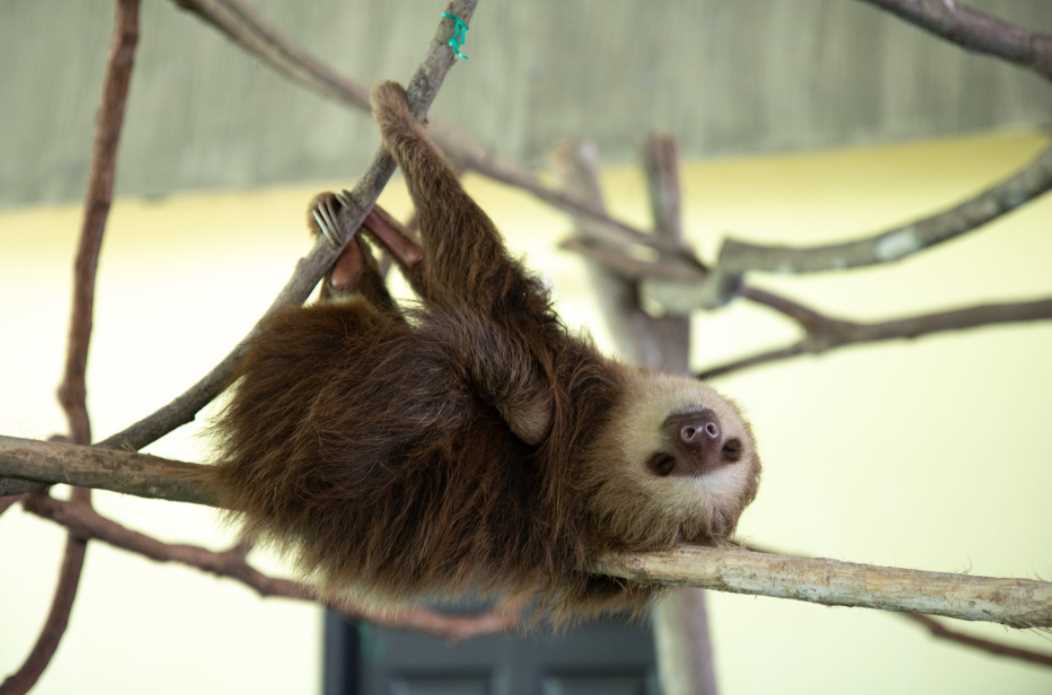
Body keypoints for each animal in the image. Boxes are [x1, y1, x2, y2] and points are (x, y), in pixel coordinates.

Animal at [208, 81, 762, 624]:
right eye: (726, 448)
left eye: (666, 464)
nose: (702, 433)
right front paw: (397, 237)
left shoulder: (568, 402)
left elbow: (488, 301)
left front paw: (395, 114)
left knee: (426, 373)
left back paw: (350, 280)